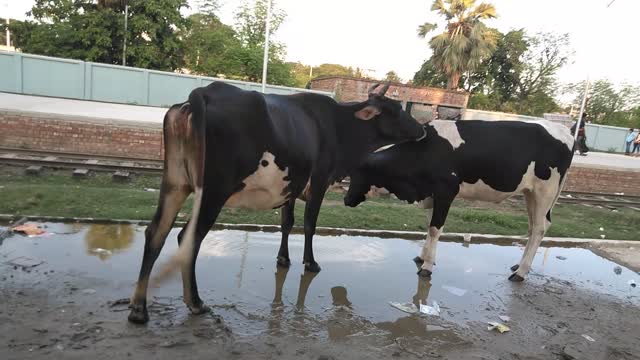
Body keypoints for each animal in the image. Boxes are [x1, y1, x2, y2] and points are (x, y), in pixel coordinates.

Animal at [127, 81, 424, 324]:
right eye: (397, 109)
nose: (422, 129)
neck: (340, 128)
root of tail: (205, 92)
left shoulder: (290, 186)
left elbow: (287, 222)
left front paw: (283, 259)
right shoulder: (319, 181)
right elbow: (309, 224)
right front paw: (310, 262)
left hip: (175, 182)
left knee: (157, 231)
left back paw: (139, 309)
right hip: (213, 191)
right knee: (188, 237)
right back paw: (196, 303)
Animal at [344, 120, 576, 282]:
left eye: (357, 173)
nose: (346, 199)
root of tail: (565, 131)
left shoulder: (446, 191)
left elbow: (435, 228)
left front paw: (427, 267)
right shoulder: (432, 193)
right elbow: (429, 225)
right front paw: (422, 257)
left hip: (545, 191)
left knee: (539, 228)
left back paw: (521, 273)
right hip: (530, 193)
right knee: (533, 226)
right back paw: (517, 266)